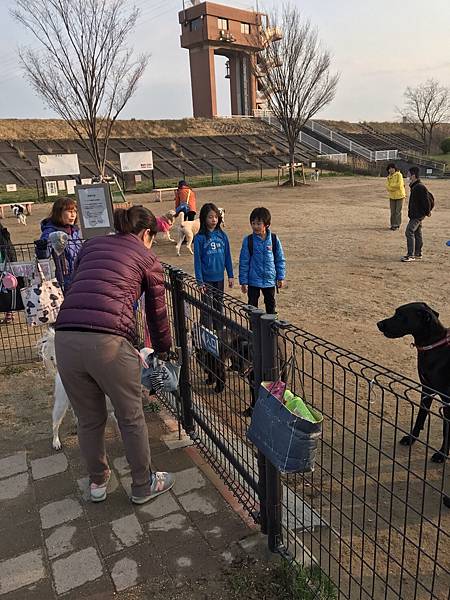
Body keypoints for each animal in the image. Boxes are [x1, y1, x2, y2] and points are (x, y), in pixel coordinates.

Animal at [378, 304, 448, 464]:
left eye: (400, 315)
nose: (378, 324)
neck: (433, 346)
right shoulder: (426, 390)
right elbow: (420, 416)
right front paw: (411, 438)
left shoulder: (448, 402)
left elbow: (446, 430)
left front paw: (442, 454)